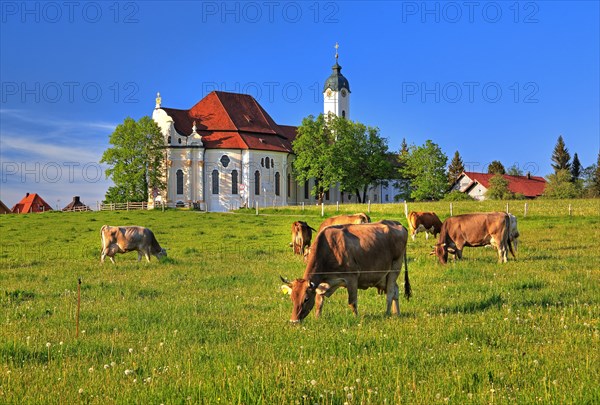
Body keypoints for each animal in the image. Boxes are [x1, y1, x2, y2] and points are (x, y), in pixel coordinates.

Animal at [278, 219, 410, 320]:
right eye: (292, 298)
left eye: (306, 299)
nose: (294, 321)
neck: (329, 248)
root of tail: (397, 223)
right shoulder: (323, 283)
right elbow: (319, 302)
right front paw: (317, 318)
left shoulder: (352, 278)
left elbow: (352, 302)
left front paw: (356, 318)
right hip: (383, 277)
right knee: (395, 290)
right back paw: (396, 313)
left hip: (394, 268)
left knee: (390, 293)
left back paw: (387, 313)